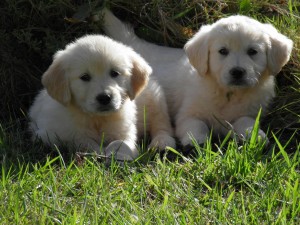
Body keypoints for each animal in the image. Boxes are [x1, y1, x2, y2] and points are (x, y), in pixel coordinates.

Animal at [29, 34, 175, 160]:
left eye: (114, 73)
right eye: (85, 77)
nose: (105, 97)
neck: (97, 119)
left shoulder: (126, 129)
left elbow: (121, 142)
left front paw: (119, 154)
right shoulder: (48, 134)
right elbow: (81, 140)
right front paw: (98, 152)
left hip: (155, 98)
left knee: (162, 125)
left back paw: (162, 143)